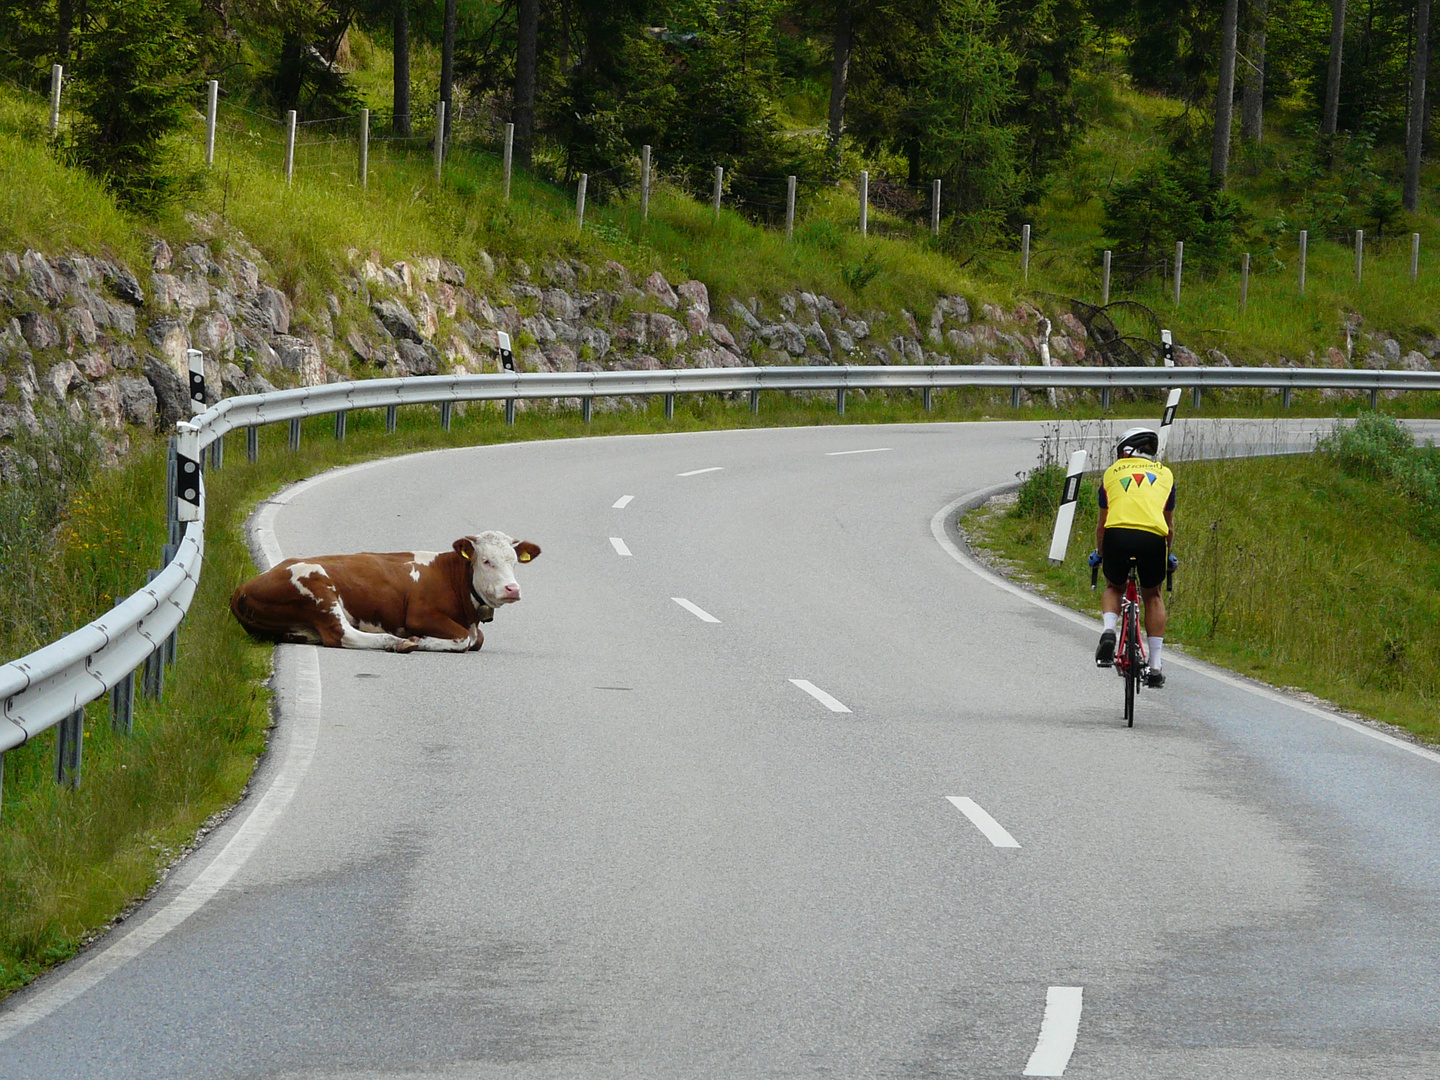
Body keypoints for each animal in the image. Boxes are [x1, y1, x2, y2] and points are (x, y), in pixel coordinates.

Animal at [230, 529, 541, 650]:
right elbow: (465, 639)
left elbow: (477, 639)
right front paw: (421, 640)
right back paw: (398, 642)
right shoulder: (421, 614)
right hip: (317, 589)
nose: (512, 589)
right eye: (486, 561)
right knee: (342, 635)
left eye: (514, 561)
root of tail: (242, 587)